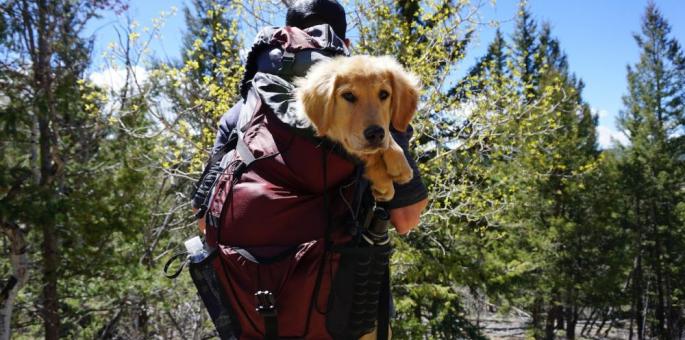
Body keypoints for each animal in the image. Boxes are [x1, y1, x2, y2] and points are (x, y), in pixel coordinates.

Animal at [296, 54, 420, 201]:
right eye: (348, 95)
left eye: (384, 94)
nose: (376, 134)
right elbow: (364, 152)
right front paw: (384, 180)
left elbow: (385, 137)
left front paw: (399, 162)